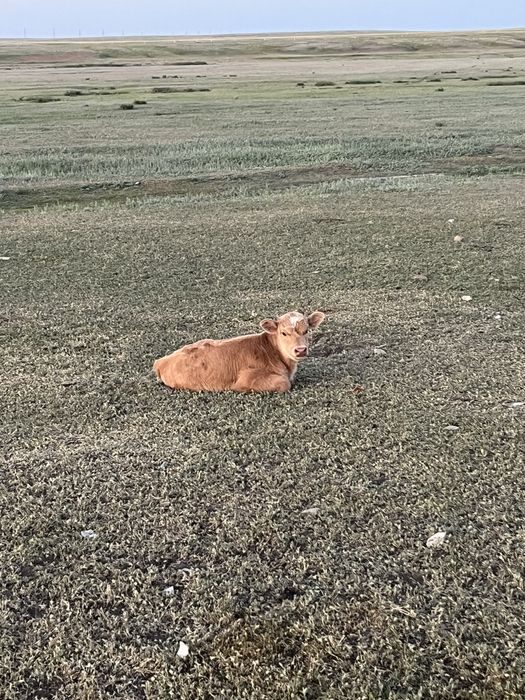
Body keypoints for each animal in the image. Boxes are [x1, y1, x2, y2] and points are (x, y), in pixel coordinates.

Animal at [153, 310, 325, 393]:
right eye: (283, 333)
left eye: (306, 331)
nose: (300, 350)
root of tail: (161, 361)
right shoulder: (247, 378)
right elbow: (284, 384)